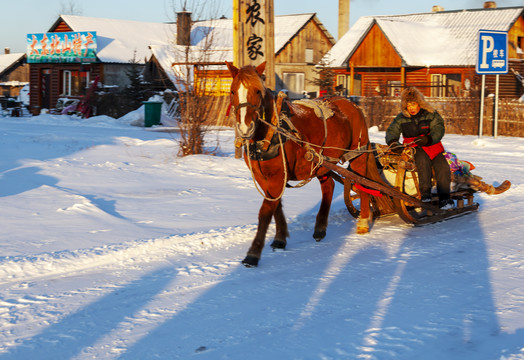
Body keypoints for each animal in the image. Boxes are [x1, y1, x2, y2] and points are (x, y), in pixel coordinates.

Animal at [227, 61, 370, 268]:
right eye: (232, 91)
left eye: (257, 91)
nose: (246, 128)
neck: (270, 132)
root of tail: (351, 104)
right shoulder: (264, 177)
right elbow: (276, 206)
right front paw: (280, 238)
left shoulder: (278, 176)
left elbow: (265, 212)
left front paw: (253, 253)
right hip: (322, 161)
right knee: (329, 186)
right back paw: (320, 228)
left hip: (358, 154)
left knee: (363, 184)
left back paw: (364, 222)